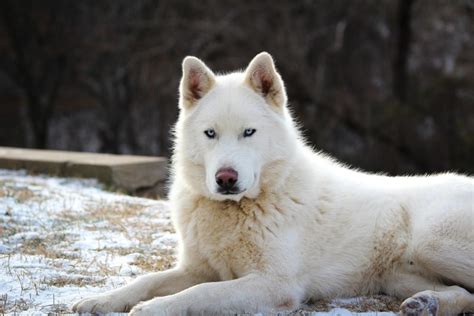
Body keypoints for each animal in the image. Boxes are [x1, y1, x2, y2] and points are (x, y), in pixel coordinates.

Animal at [72, 53, 472, 314]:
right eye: (210, 133)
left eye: (249, 132)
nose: (226, 178)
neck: (236, 210)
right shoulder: (194, 268)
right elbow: (147, 280)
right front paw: (100, 300)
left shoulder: (274, 284)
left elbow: (201, 293)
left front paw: (153, 308)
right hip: (398, 276)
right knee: (465, 295)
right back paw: (426, 303)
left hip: (432, 241)